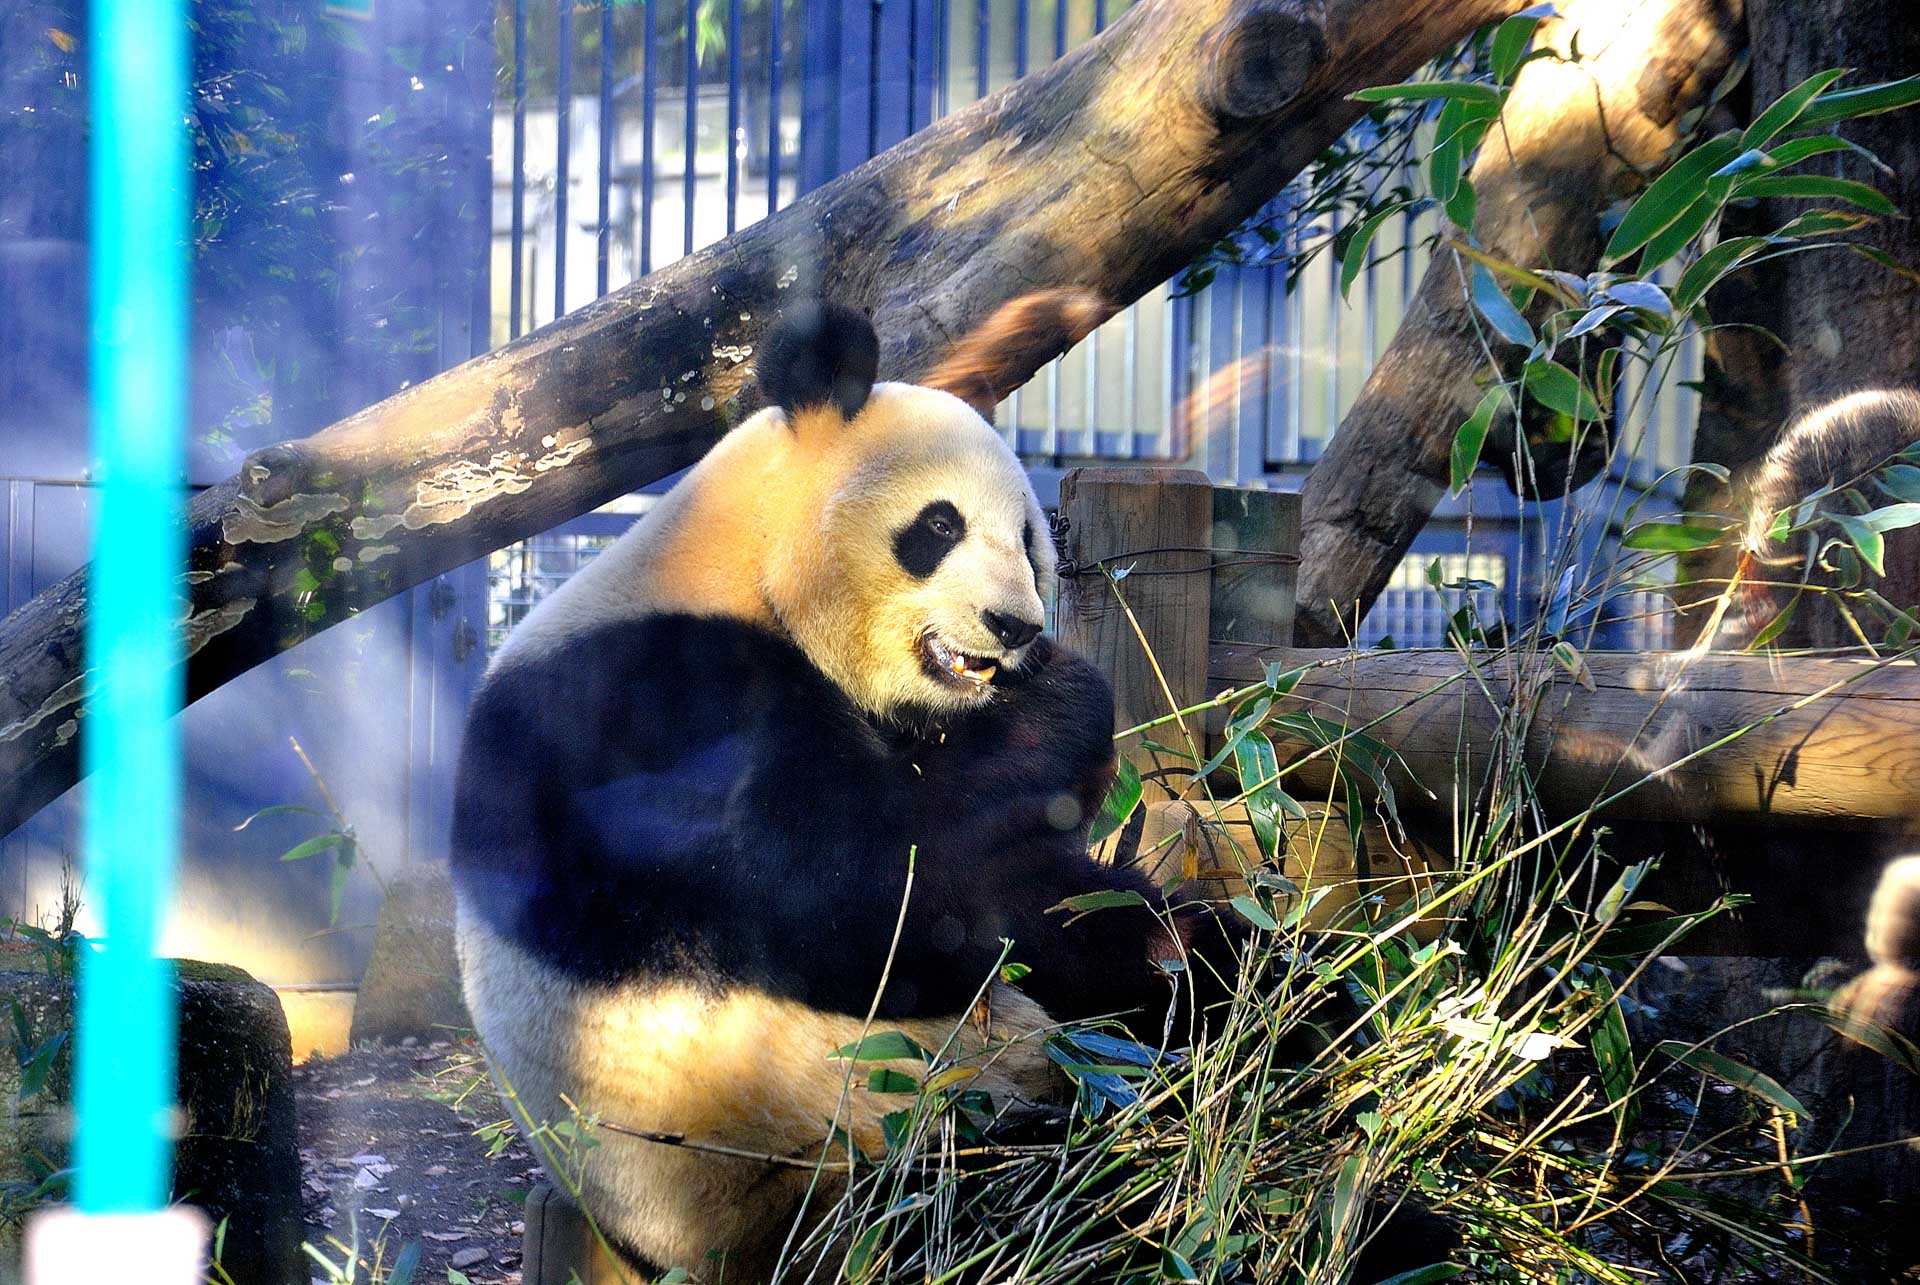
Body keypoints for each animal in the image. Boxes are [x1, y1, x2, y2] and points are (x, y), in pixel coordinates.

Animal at [447, 303, 1244, 1283]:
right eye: (938, 525)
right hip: (827, 1162)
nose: (1014, 626)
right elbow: (858, 891)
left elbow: (1018, 896)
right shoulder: (656, 699)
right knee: (1007, 1207)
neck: (739, 564)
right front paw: (1062, 703)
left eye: (1029, 538)